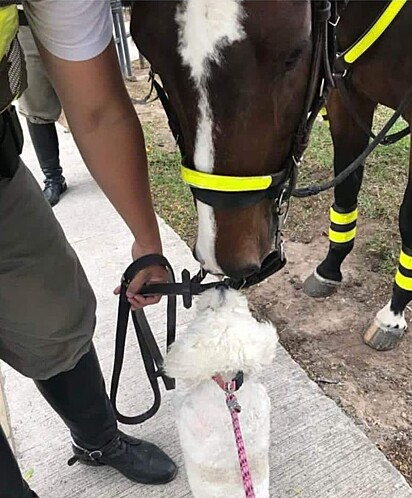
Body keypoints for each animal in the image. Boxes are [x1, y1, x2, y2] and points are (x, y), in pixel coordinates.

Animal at [127, 0, 410, 350]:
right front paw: (331, 267)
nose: (226, 259)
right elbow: (346, 185)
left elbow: (407, 219)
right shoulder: (345, 94)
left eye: (295, 54)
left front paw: (394, 313)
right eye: (153, 61)